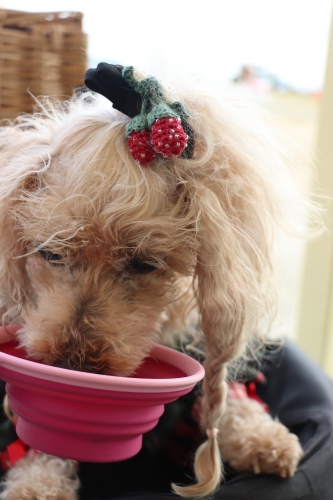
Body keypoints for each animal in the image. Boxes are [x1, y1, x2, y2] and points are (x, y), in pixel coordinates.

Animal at [0, 64, 306, 498]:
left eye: (144, 264)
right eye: (52, 253)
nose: (74, 365)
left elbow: (225, 396)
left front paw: (263, 437)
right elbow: (38, 445)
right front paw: (36, 485)